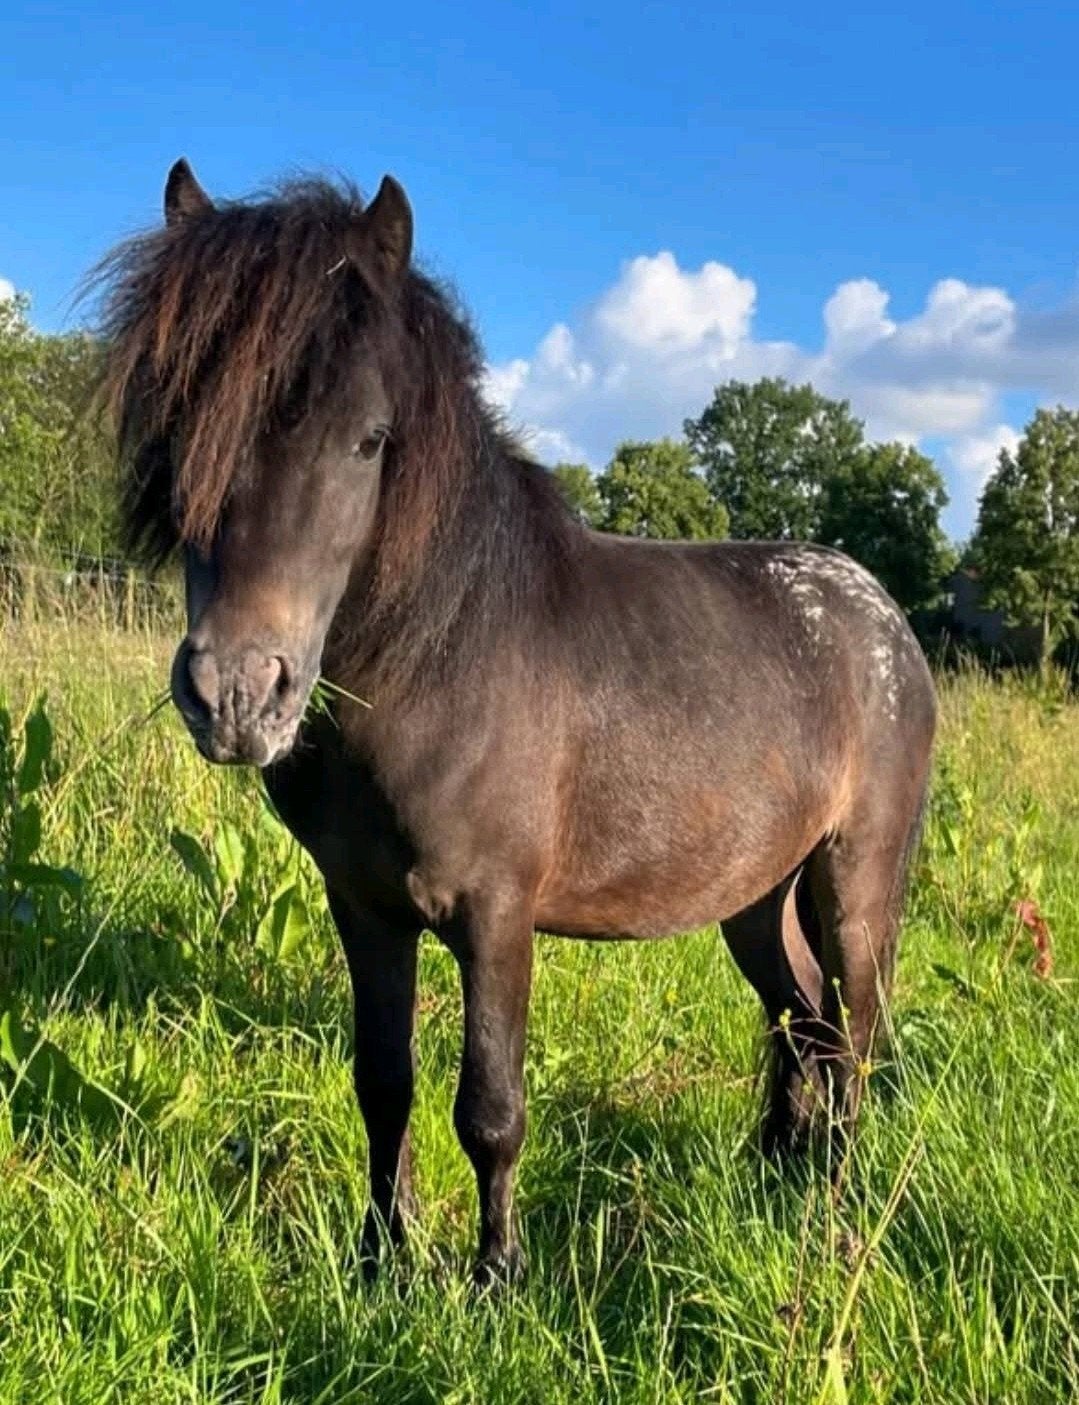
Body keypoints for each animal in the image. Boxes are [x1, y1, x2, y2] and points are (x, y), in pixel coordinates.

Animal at [98, 159, 937, 1285]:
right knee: (795, 1015)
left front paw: (497, 1277)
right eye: (180, 426)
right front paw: (381, 1261)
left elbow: (490, 1107)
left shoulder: (495, 914)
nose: (237, 695)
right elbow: (383, 1084)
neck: (440, 666)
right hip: (754, 893)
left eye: (369, 439)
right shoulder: (363, 908)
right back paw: (773, 1172)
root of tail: (881, 614)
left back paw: (833, 1207)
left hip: (856, 876)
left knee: (851, 1034)